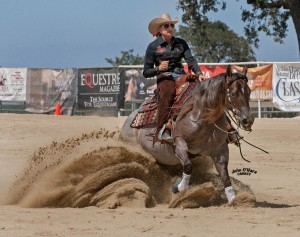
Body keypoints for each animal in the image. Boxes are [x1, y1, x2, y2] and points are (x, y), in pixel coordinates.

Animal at [119, 65, 253, 203]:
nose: (248, 120)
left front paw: (234, 200)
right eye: (233, 93)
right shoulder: (179, 143)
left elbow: (225, 176)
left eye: (249, 91)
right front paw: (179, 188)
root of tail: (128, 122)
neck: (202, 116)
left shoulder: (220, 149)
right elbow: (188, 166)